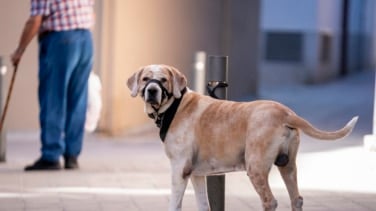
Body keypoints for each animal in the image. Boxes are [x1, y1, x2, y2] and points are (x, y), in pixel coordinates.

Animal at [127, 64, 358, 211]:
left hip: (255, 167)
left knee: (270, 202)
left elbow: (174, 204)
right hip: (288, 167)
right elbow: (203, 204)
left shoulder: (179, 170)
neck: (175, 106)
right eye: (145, 79)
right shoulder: (196, 174)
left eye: (163, 79)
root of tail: (285, 112)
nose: (152, 90)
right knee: (297, 199)